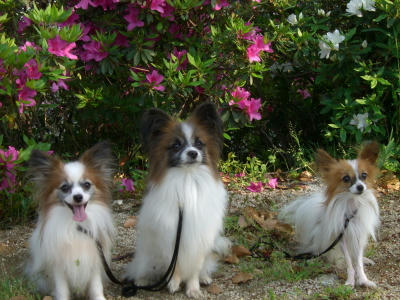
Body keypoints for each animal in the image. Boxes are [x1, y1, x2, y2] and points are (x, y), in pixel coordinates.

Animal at [25, 142, 115, 300]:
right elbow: (62, 289)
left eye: (86, 185)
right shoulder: (58, 265)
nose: (78, 197)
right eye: (65, 187)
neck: (75, 225)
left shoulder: (94, 259)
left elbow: (96, 286)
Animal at [125, 102, 231, 298]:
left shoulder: (199, 237)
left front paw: (193, 288)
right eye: (175, 145)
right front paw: (174, 283)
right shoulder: (171, 236)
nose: (193, 153)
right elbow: (175, 265)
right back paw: (143, 280)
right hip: (147, 256)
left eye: (199, 143)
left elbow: (195, 268)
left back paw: (204, 278)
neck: (187, 180)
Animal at [280, 143, 380, 288]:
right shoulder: (341, 237)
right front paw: (350, 281)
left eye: (364, 175)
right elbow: (349, 263)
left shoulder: (358, 235)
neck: (350, 206)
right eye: (346, 178)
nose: (360, 187)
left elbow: (358, 261)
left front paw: (363, 279)